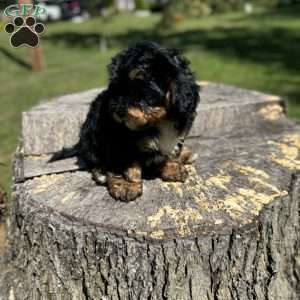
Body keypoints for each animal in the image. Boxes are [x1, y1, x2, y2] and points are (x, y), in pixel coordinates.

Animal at [54, 41, 200, 202]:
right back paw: (102, 173)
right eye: (116, 87)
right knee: (94, 161)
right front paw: (127, 185)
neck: (159, 121)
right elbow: (127, 164)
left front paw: (172, 167)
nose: (116, 108)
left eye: (142, 93)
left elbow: (170, 153)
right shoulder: (119, 141)